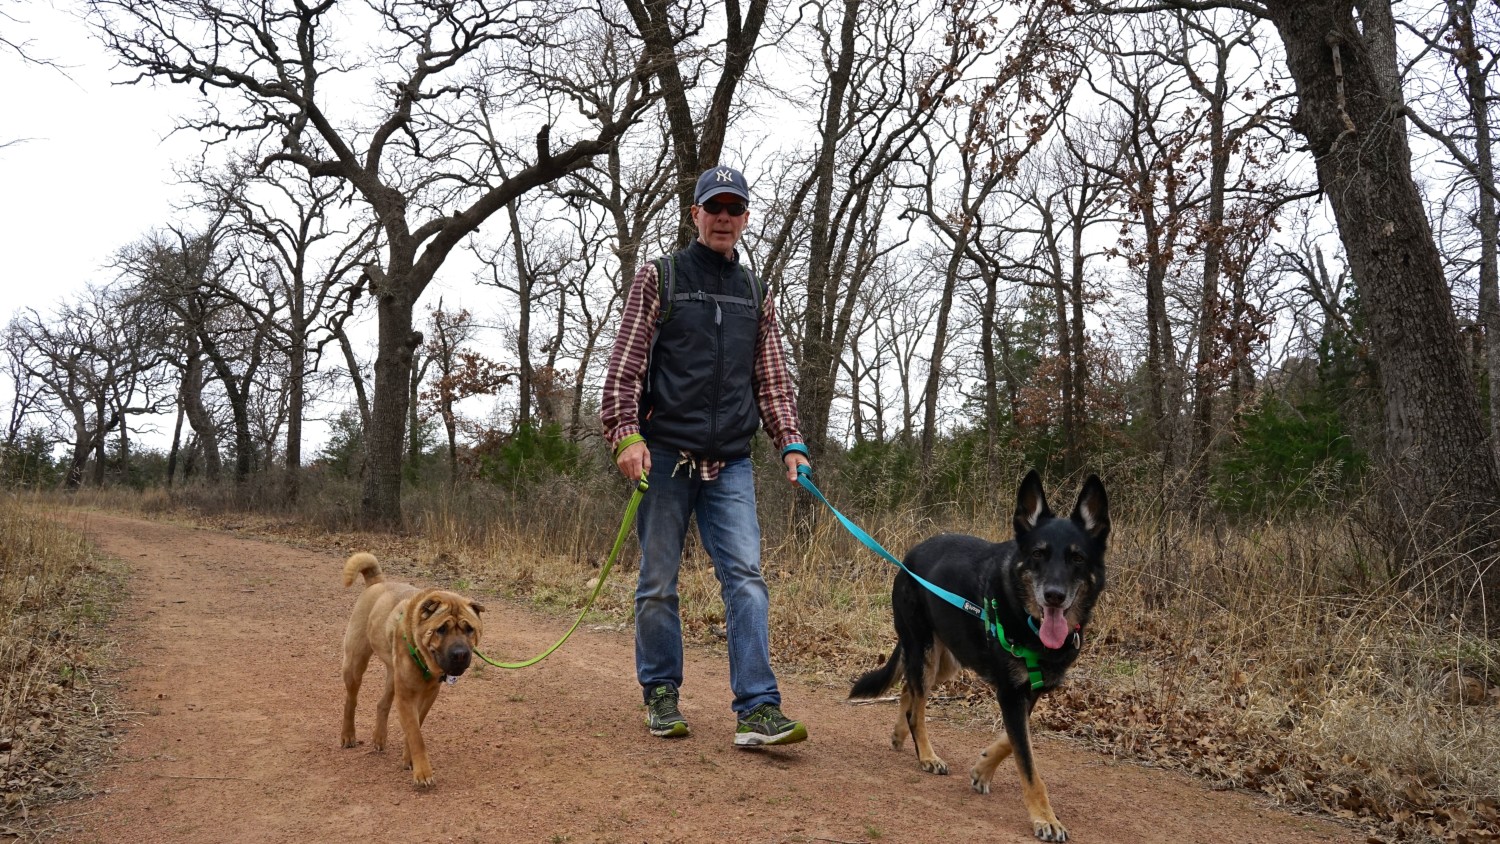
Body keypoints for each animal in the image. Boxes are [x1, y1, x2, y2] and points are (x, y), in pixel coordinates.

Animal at [337, 554, 483, 785]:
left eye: (469, 629)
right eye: (441, 629)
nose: (460, 654)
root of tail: (377, 582)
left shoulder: (429, 694)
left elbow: (416, 726)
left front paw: (409, 758)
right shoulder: (406, 695)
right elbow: (415, 734)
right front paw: (423, 772)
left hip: (392, 676)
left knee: (382, 704)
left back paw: (379, 737)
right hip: (355, 663)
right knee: (351, 701)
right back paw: (348, 734)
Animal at [852, 473, 1110, 839]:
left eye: (1077, 558)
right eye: (1038, 554)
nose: (1054, 596)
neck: (1025, 617)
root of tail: (908, 558)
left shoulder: (1029, 690)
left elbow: (1012, 742)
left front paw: (982, 770)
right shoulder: (1011, 693)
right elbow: (1027, 762)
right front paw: (1045, 818)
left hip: (942, 662)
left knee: (909, 691)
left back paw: (902, 734)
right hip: (924, 650)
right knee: (917, 706)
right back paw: (927, 754)